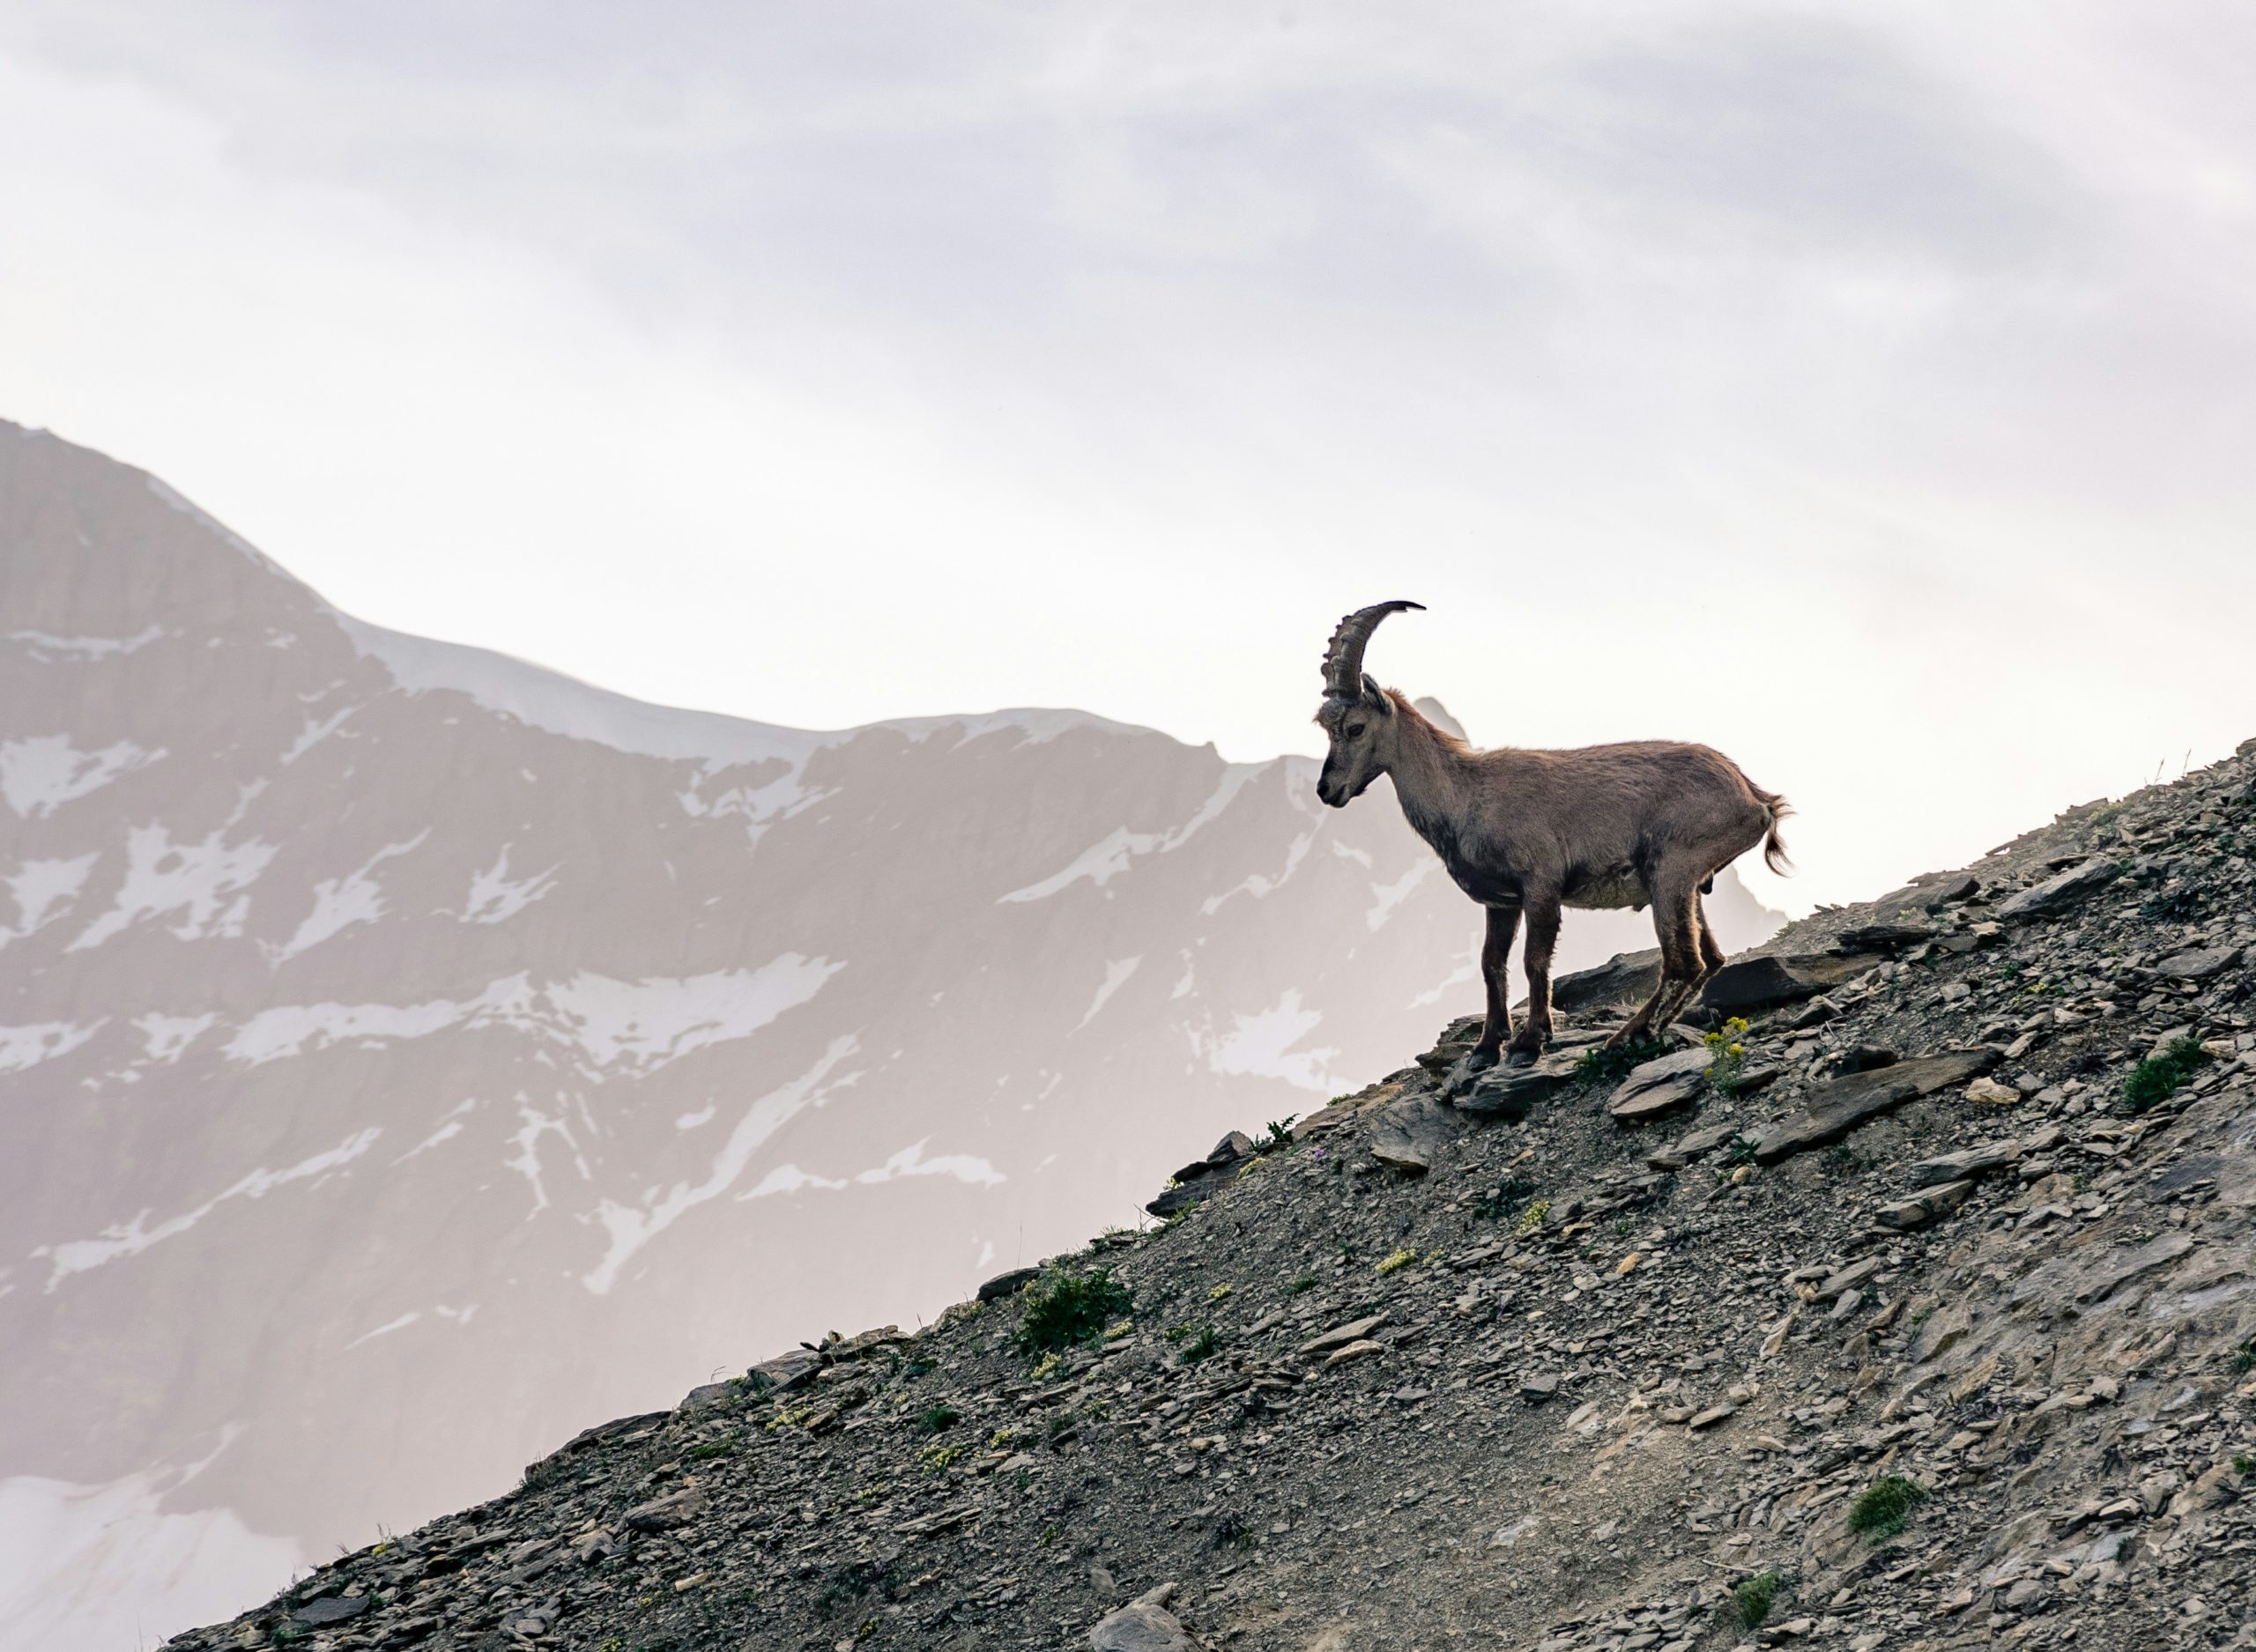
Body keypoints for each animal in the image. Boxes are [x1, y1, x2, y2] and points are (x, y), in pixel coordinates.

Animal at [1313, 600, 1789, 1077]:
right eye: (1326, 727)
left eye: (1355, 727)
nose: (1327, 790)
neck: (1467, 794)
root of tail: (1755, 798)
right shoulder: (1500, 901)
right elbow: (1491, 964)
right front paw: (1486, 1047)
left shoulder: (1540, 884)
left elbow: (1533, 960)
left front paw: (1530, 1041)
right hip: (1688, 886)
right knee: (1709, 959)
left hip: (1670, 871)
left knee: (1683, 962)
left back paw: (1624, 1038)